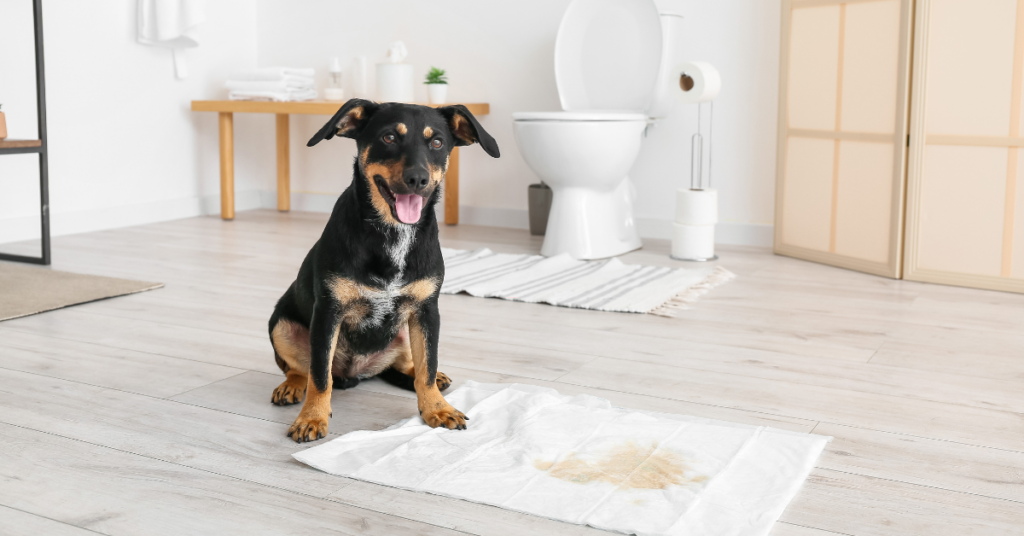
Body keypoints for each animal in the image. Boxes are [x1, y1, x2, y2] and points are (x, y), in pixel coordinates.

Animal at [268, 100, 499, 444]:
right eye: (389, 137)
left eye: (437, 142)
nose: (417, 179)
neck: (392, 233)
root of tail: (354, 374)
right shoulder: (327, 313)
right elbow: (320, 376)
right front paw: (312, 418)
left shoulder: (426, 311)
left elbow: (427, 367)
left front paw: (436, 408)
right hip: (280, 325)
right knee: (301, 369)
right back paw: (292, 386)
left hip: (402, 330)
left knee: (407, 366)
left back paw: (426, 378)